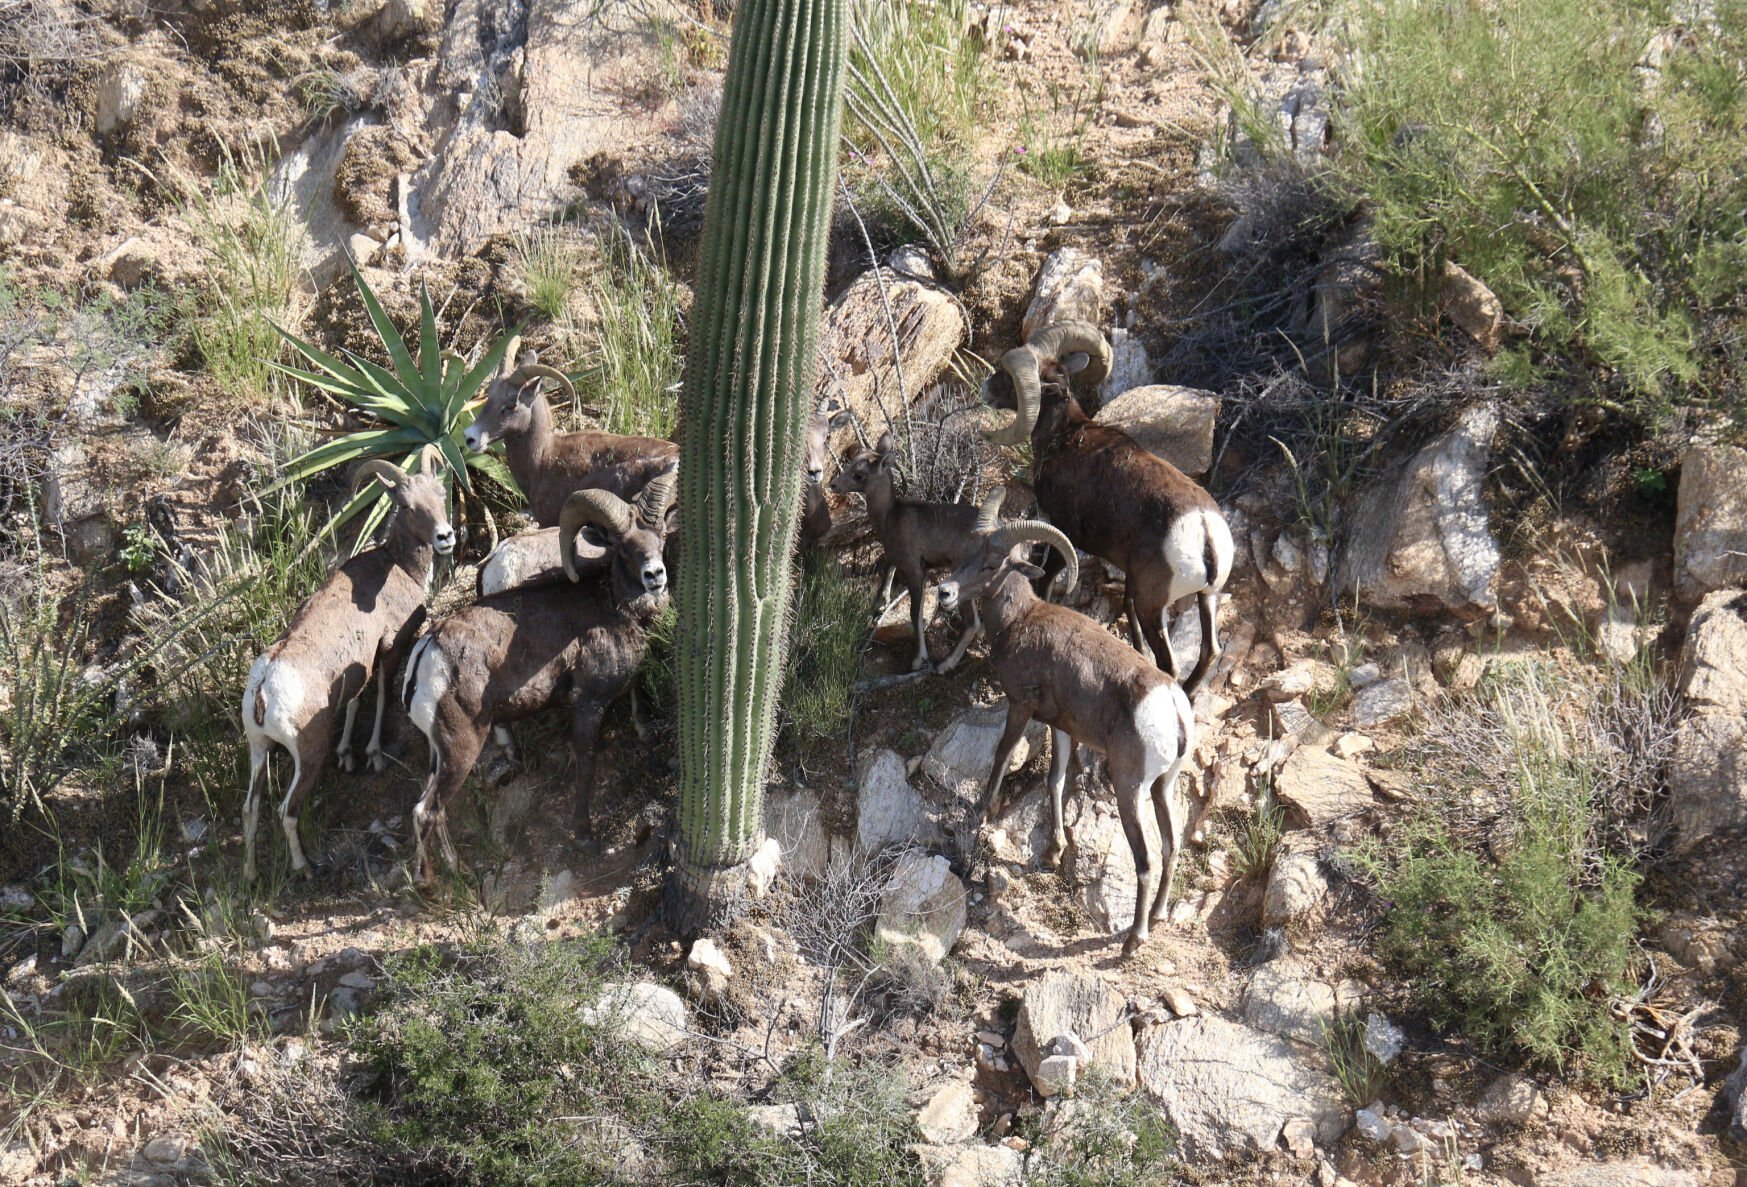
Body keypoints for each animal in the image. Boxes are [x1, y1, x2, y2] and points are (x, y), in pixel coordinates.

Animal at [241, 455, 455, 883]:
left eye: (440, 494)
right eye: (406, 505)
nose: (445, 536)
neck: (395, 567)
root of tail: (264, 688)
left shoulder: (360, 666)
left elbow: (356, 700)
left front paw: (348, 755)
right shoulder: (390, 647)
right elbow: (383, 693)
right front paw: (372, 755)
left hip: (259, 751)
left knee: (251, 809)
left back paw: (251, 875)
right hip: (307, 753)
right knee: (287, 810)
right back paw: (304, 868)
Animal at [401, 473, 676, 882]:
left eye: (660, 537)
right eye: (623, 548)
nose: (654, 576)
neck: (613, 606)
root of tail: (426, 654)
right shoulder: (588, 705)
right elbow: (586, 764)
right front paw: (585, 835)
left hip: (440, 753)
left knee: (433, 808)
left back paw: (457, 870)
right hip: (461, 748)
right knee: (426, 811)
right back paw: (432, 883)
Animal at [829, 431, 984, 672]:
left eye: (859, 475)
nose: (833, 485)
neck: (889, 516)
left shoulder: (915, 570)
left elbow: (914, 614)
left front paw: (919, 659)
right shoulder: (898, 559)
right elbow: (887, 571)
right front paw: (879, 605)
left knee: (972, 622)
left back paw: (944, 665)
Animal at [937, 493, 1195, 956]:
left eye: (991, 564)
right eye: (966, 554)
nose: (944, 592)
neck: (1020, 619)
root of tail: (1171, 706)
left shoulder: (1020, 706)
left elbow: (1002, 756)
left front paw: (981, 813)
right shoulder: (1061, 728)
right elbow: (1055, 781)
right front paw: (1054, 853)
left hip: (1130, 790)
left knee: (1145, 859)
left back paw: (1134, 940)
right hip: (1163, 787)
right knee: (1170, 847)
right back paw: (1159, 915)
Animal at [982, 322, 1234, 695]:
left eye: (1010, 378)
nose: (986, 388)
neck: (1065, 439)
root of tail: (1204, 532)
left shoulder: (1066, 537)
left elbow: (1046, 582)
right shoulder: (1129, 575)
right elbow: (1126, 609)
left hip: (1154, 606)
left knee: (1171, 665)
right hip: (1208, 598)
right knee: (1209, 652)